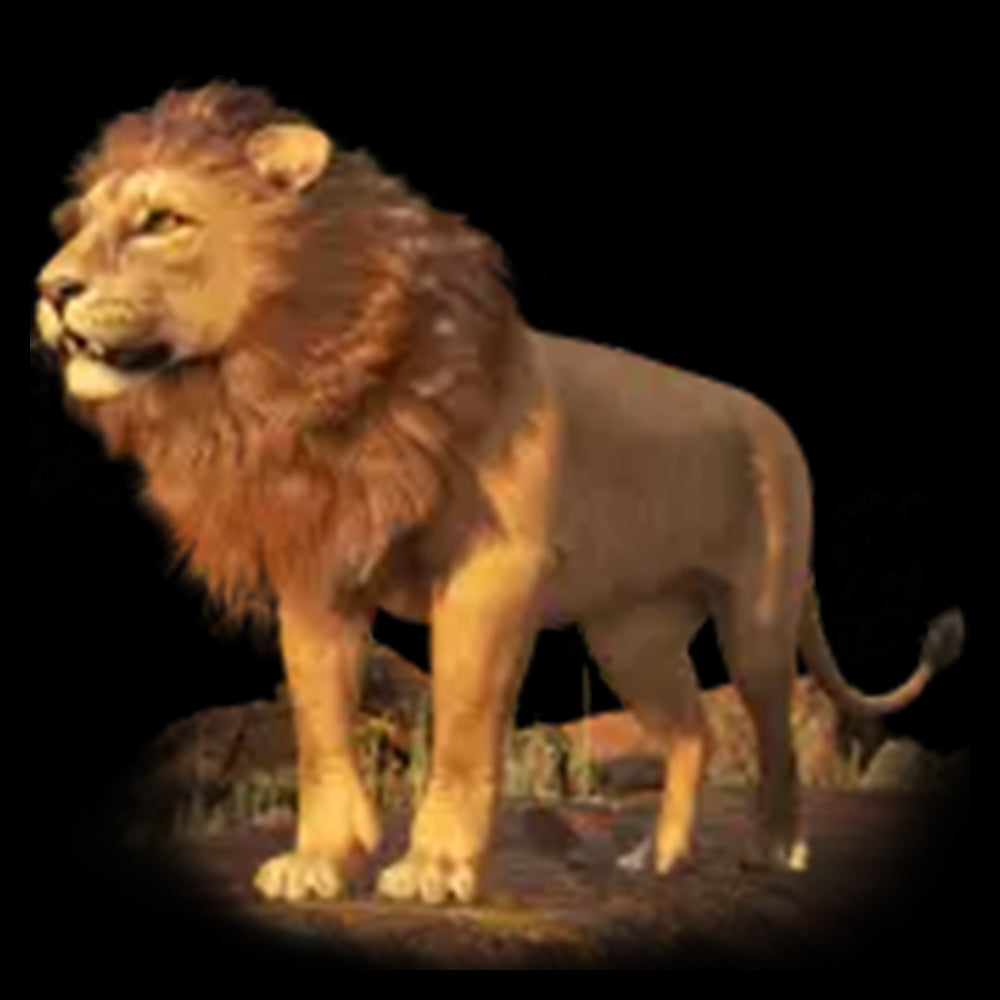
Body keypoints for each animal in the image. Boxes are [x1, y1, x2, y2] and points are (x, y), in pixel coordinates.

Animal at [33, 84, 964, 905]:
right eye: (78, 227)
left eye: (163, 221)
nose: (50, 289)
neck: (305, 385)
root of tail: (772, 416)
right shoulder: (318, 575)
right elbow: (322, 732)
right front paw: (323, 862)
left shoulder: (492, 572)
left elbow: (465, 730)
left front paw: (437, 870)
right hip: (630, 634)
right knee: (694, 732)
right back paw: (659, 860)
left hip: (758, 616)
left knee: (773, 733)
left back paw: (775, 849)